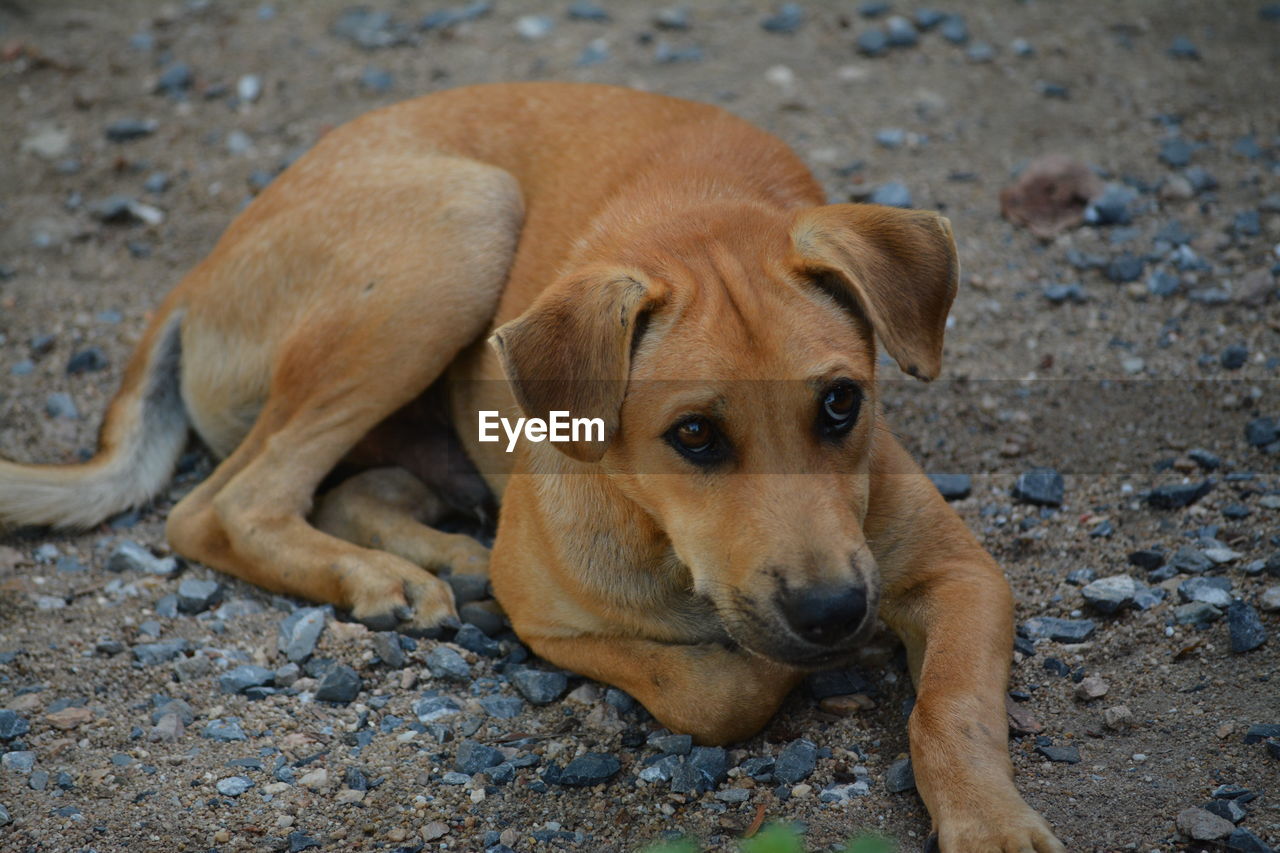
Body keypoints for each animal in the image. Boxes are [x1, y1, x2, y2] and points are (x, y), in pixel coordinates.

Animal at [2, 81, 1059, 850]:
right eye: (694, 435)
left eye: (842, 402)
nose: (836, 613)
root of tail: (196, 270)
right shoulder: (552, 615)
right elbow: (718, 689)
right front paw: (773, 669)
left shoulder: (965, 575)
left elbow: (956, 709)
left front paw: (993, 824)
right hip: (454, 228)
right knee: (221, 509)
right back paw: (387, 577)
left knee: (347, 490)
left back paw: (431, 559)